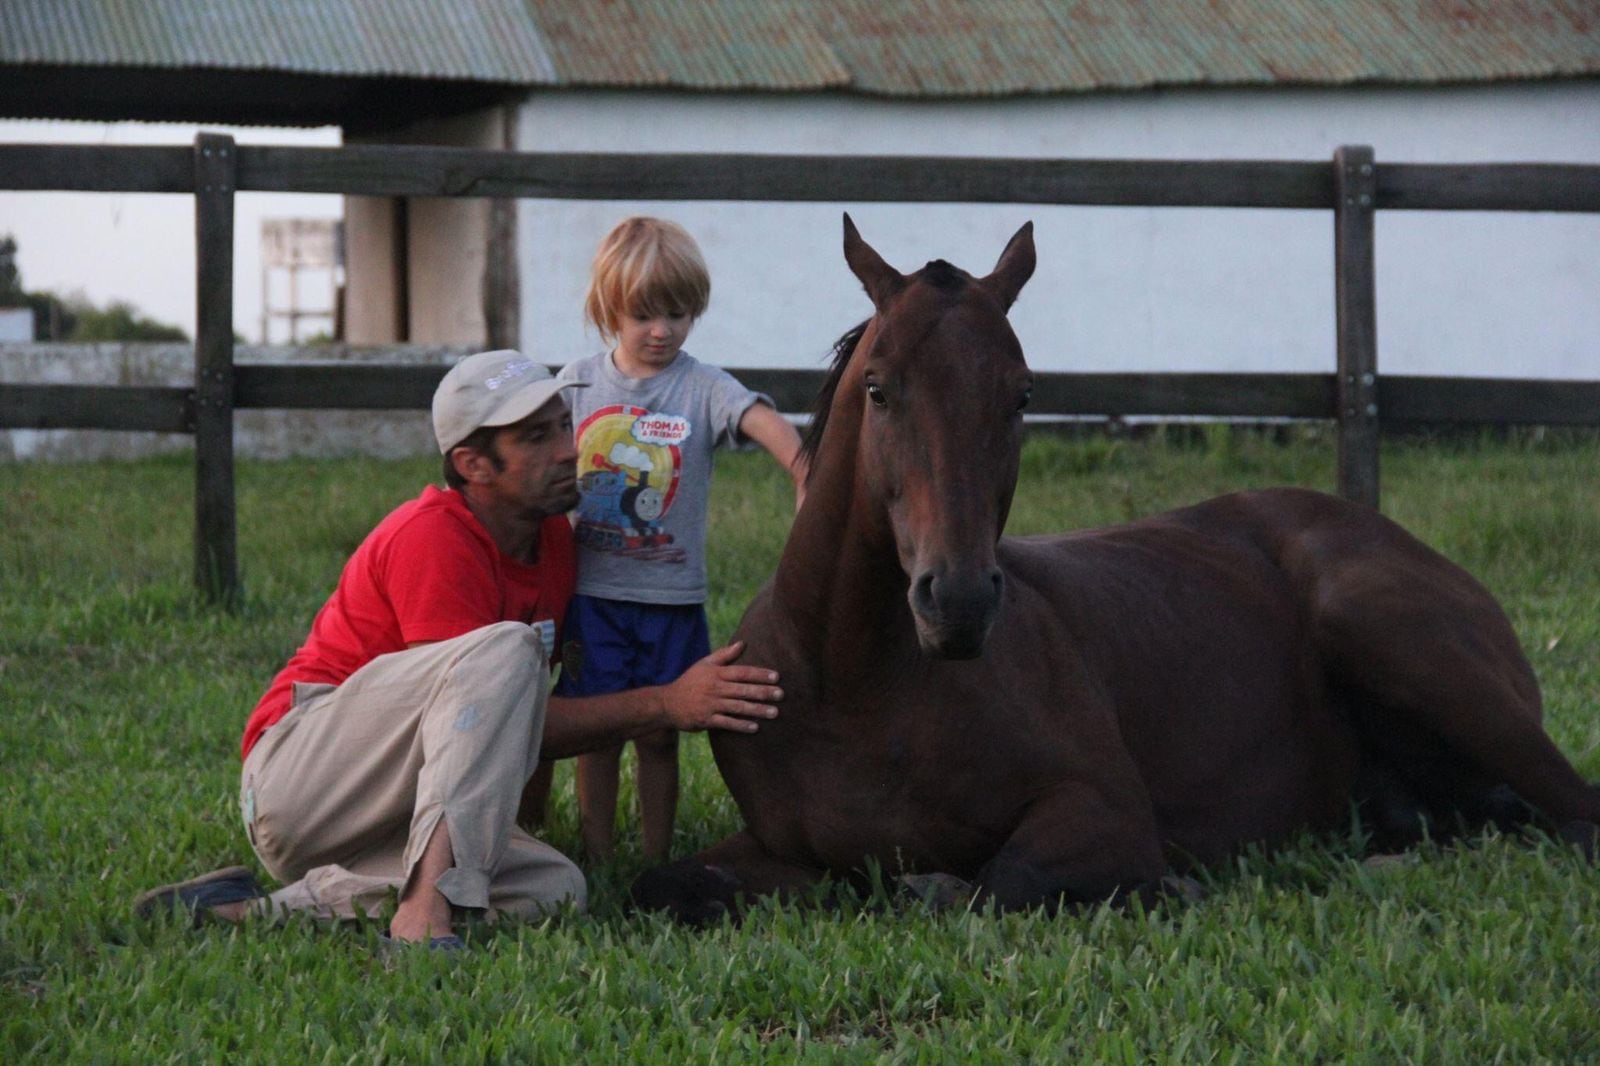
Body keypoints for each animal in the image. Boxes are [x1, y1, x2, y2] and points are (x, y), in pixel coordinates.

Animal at [630, 217, 1593, 921]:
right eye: (879, 387)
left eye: (1022, 394)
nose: (958, 601)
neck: (855, 682)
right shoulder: (774, 849)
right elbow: (666, 884)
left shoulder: (1104, 814)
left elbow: (990, 884)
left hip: (1387, 633)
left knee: (1576, 813)